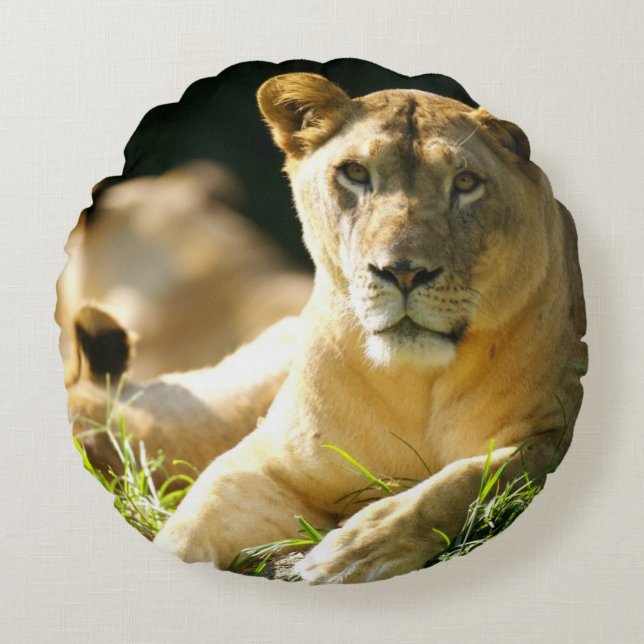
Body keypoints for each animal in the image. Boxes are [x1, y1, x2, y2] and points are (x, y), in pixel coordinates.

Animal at [69, 72, 587, 584]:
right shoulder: (266, 462)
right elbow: (188, 527)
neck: (415, 383)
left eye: (465, 182)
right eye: (355, 173)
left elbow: (466, 480)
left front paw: (353, 553)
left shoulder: (550, 433)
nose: (402, 272)